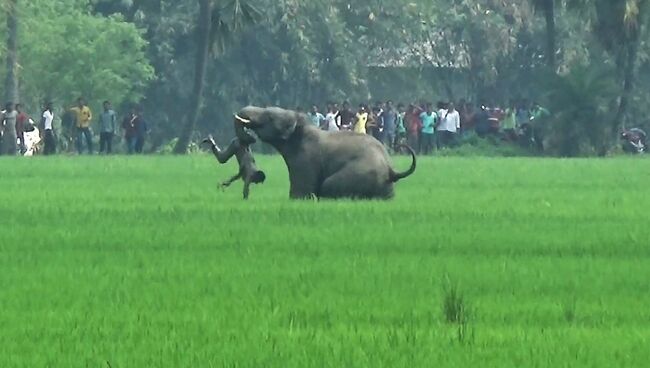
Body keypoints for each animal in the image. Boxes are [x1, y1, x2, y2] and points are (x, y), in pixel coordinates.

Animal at [233, 105, 416, 200]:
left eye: (269, 117)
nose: (249, 138)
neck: (300, 126)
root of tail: (391, 170)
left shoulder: (305, 159)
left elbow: (301, 192)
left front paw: (297, 199)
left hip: (361, 173)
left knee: (328, 185)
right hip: (386, 188)